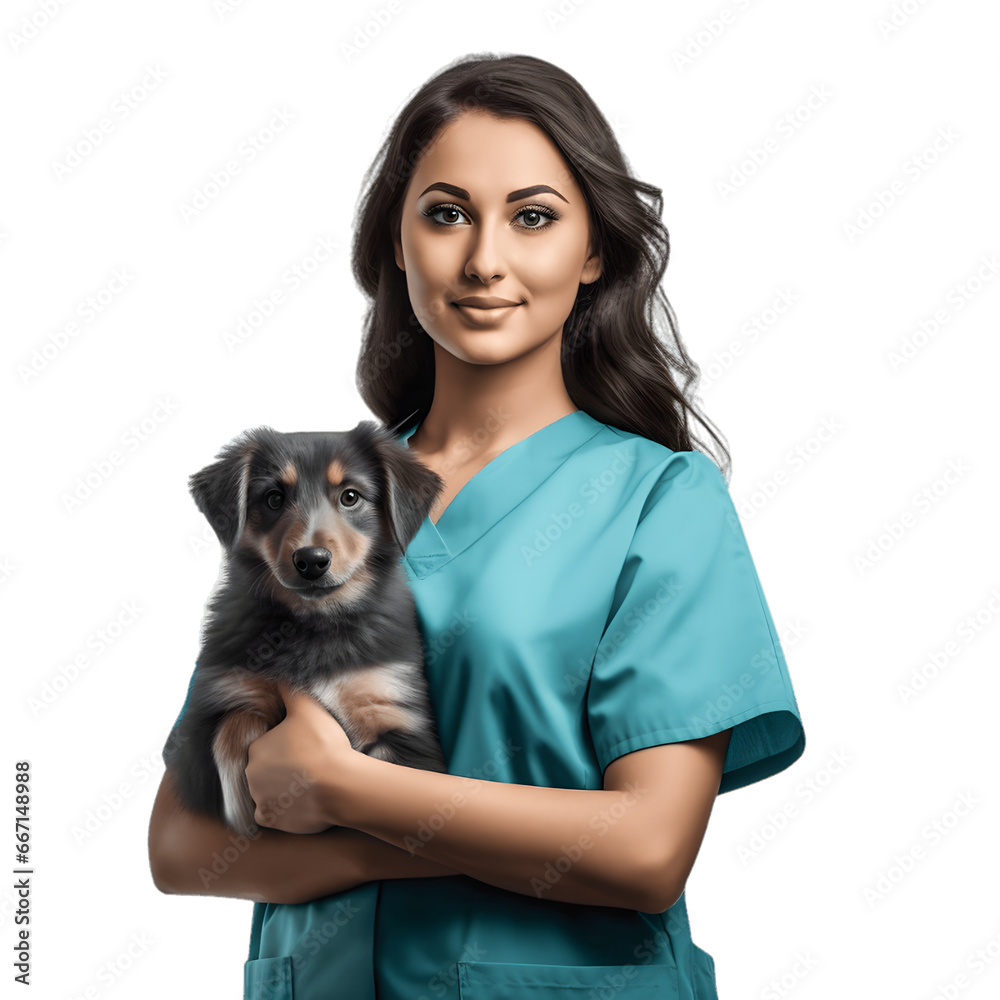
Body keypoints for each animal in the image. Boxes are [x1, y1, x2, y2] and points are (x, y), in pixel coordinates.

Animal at [164, 418, 446, 840]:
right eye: (274, 498)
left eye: (350, 497)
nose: (311, 561)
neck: (312, 623)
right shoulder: (213, 708)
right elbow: (235, 724)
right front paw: (241, 808)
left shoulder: (397, 718)